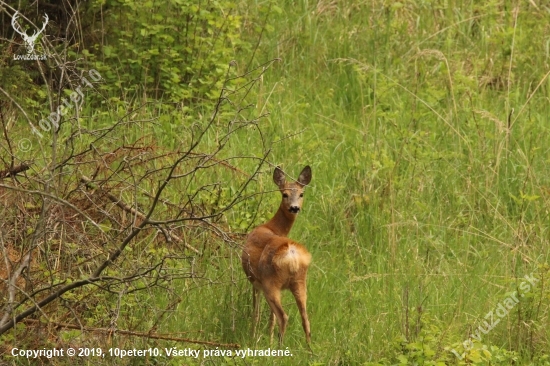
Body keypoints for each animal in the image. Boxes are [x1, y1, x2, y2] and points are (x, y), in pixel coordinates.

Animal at [243, 164, 314, 344]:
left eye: (301, 194)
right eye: (285, 194)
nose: (294, 207)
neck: (272, 227)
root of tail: (292, 256)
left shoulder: (256, 282)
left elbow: (256, 312)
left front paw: (253, 338)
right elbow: (270, 318)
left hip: (271, 282)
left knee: (283, 316)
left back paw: (279, 346)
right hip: (299, 282)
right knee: (305, 319)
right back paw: (309, 349)